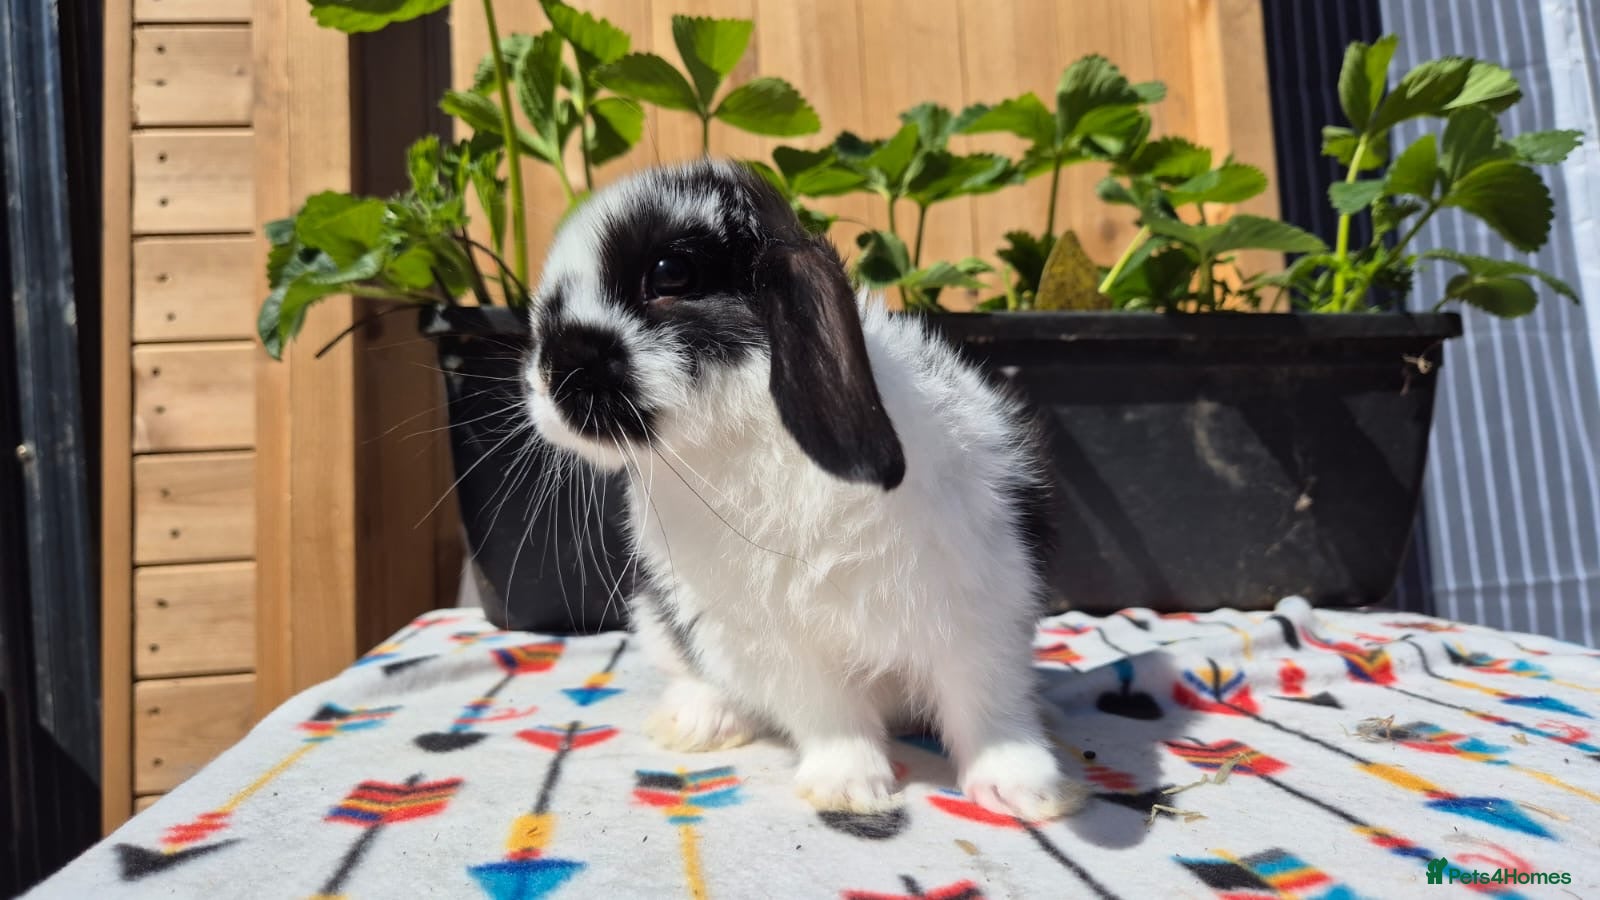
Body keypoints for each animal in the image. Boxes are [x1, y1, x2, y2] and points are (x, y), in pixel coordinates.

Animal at [521, 158, 1084, 822]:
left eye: (671, 273)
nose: (547, 375)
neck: (749, 433)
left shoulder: (980, 608)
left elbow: (989, 706)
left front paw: (1026, 791)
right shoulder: (777, 644)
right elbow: (830, 714)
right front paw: (850, 788)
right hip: (661, 621)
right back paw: (696, 722)